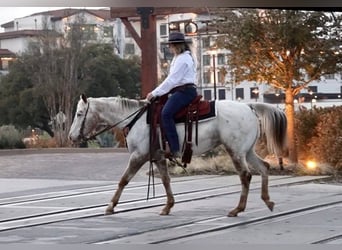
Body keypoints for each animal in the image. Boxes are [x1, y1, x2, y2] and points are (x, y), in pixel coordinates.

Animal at [68, 94, 288, 217]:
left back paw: (238, 209)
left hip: (235, 151)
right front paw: (167, 207)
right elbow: (166, 180)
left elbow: (123, 180)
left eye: (79, 114)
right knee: (264, 167)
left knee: (246, 176)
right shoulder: (158, 157)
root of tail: (249, 106)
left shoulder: (139, 156)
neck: (135, 119)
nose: (71, 136)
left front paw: (110, 206)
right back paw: (267, 201)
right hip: (247, 151)